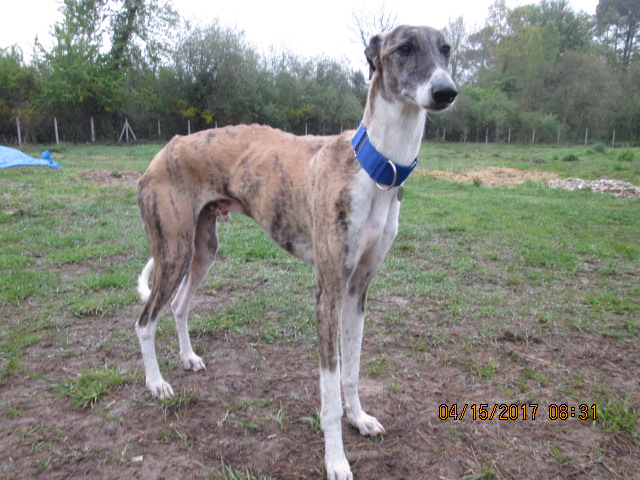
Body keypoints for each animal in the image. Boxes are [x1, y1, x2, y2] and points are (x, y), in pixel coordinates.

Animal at [134, 25, 456, 480]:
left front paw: (360, 419)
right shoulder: (329, 294)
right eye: (405, 48)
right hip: (173, 250)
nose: (446, 91)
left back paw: (188, 358)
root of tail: (164, 149)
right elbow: (330, 388)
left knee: (179, 306)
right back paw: (156, 383)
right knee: (144, 321)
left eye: (446, 50)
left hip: (202, 249)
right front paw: (336, 460)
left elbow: (352, 371)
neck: (376, 167)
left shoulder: (357, 291)